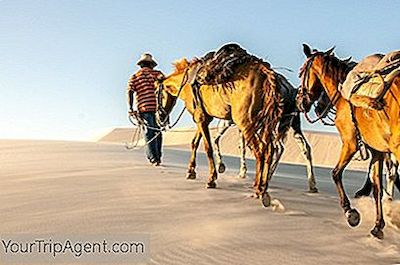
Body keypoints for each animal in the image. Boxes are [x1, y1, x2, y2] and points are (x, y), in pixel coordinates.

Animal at [156, 54, 284, 205]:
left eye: (156, 93)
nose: (159, 117)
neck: (186, 82)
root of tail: (265, 75)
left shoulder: (200, 118)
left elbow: (207, 148)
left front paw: (211, 180)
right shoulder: (203, 117)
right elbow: (194, 143)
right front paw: (191, 171)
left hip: (245, 122)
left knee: (260, 151)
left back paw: (259, 190)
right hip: (265, 123)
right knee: (269, 149)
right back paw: (263, 187)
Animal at [296, 43, 400, 237]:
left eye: (301, 72)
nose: (301, 102)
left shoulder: (350, 142)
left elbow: (336, 173)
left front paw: (351, 213)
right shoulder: (377, 151)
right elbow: (376, 186)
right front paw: (378, 226)